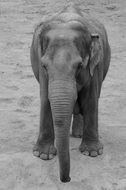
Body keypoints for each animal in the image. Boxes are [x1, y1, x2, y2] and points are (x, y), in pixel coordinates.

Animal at [30, 4, 110, 183]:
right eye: (44, 66)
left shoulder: (96, 65)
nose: (67, 180)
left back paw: (78, 135)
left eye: (80, 65)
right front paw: (43, 155)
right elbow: (46, 99)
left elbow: (90, 100)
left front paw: (92, 153)